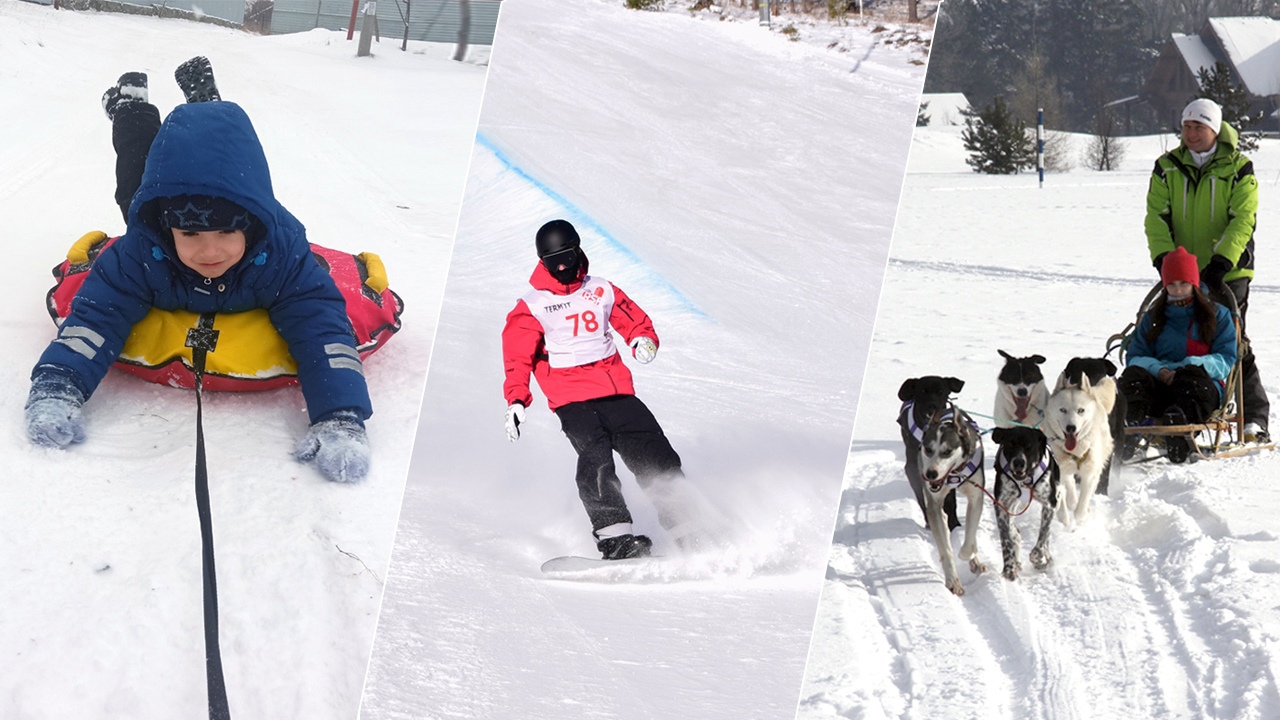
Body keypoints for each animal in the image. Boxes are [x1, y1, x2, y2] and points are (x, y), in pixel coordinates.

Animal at [901, 376, 988, 594]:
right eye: (928, 449)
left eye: (947, 451)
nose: (930, 474)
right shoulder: (934, 503)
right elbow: (946, 549)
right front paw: (953, 581)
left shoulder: (976, 496)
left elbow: (970, 534)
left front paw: (969, 554)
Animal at [988, 422, 1059, 579]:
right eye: (1010, 444)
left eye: (1029, 446)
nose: (1018, 462)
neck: (1026, 480)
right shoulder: (1001, 505)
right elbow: (1006, 540)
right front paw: (1009, 568)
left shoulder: (1050, 505)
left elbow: (1042, 538)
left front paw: (1038, 559)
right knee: (1014, 531)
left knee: (1046, 538)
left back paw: (1047, 559)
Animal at [1044, 376, 1116, 527]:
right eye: (1063, 410)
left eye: (1081, 410)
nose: (1071, 427)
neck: (1075, 451)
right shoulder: (1059, 471)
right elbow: (1063, 504)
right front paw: (1065, 520)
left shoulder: (1089, 474)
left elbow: (1081, 507)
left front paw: (1081, 517)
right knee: (1070, 484)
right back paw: (1071, 501)